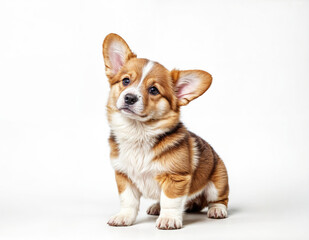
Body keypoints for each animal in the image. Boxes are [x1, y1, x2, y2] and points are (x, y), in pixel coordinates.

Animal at [102, 32, 227, 230]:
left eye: (154, 90)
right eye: (126, 81)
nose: (129, 97)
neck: (138, 133)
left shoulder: (175, 177)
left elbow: (170, 200)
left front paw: (168, 219)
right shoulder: (124, 176)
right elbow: (128, 201)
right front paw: (124, 217)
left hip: (218, 182)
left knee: (220, 199)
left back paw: (217, 210)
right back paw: (155, 206)